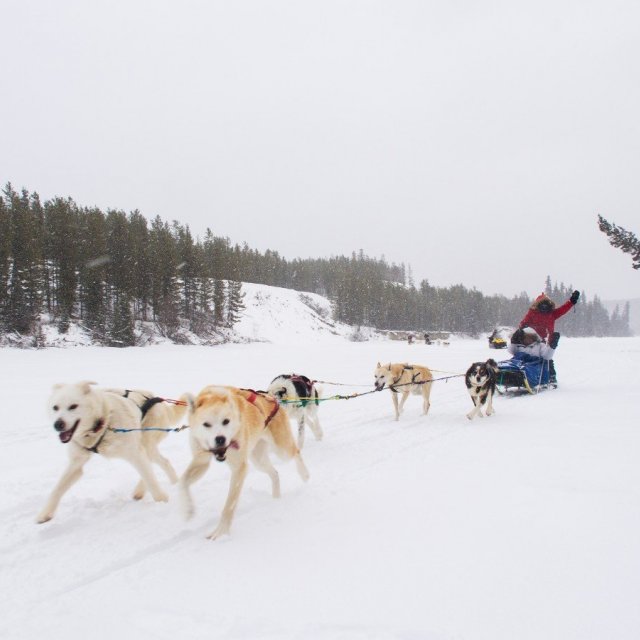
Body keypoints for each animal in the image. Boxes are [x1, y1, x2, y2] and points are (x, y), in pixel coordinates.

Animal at [37, 382, 184, 524]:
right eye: (55, 407)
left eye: (73, 406)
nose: (57, 424)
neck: (102, 423)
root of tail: (158, 399)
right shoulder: (76, 464)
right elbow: (57, 489)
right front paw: (45, 514)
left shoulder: (135, 453)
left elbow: (150, 478)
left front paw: (162, 499)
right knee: (161, 462)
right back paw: (166, 484)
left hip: (146, 443)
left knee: (153, 466)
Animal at [180, 384, 310, 540]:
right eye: (206, 424)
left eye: (226, 421)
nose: (220, 439)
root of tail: (272, 397)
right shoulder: (201, 461)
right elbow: (182, 481)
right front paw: (188, 510)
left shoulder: (239, 468)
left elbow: (229, 506)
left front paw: (221, 532)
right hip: (258, 460)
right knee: (275, 474)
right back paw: (276, 497)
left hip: (281, 450)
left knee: (296, 452)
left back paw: (304, 474)